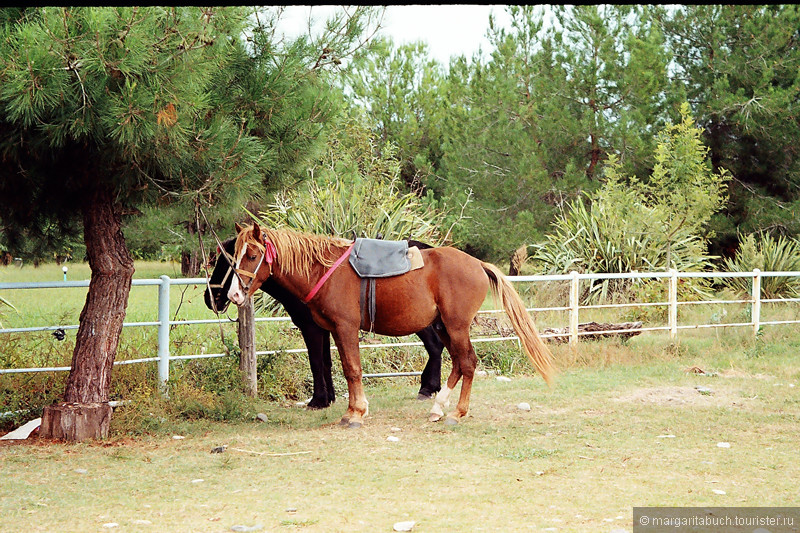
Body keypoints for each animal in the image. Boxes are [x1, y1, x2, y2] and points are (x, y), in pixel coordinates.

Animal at [228, 222, 552, 426]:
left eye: (252, 255)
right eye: (233, 257)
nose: (234, 294)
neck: (326, 270)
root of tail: (478, 264)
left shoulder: (346, 328)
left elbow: (353, 370)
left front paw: (356, 414)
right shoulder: (334, 331)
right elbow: (344, 369)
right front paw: (352, 409)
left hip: (456, 326)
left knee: (468, 363)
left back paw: (456, 413)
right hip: (444, 327)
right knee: (460, 364)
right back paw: (437, 409)